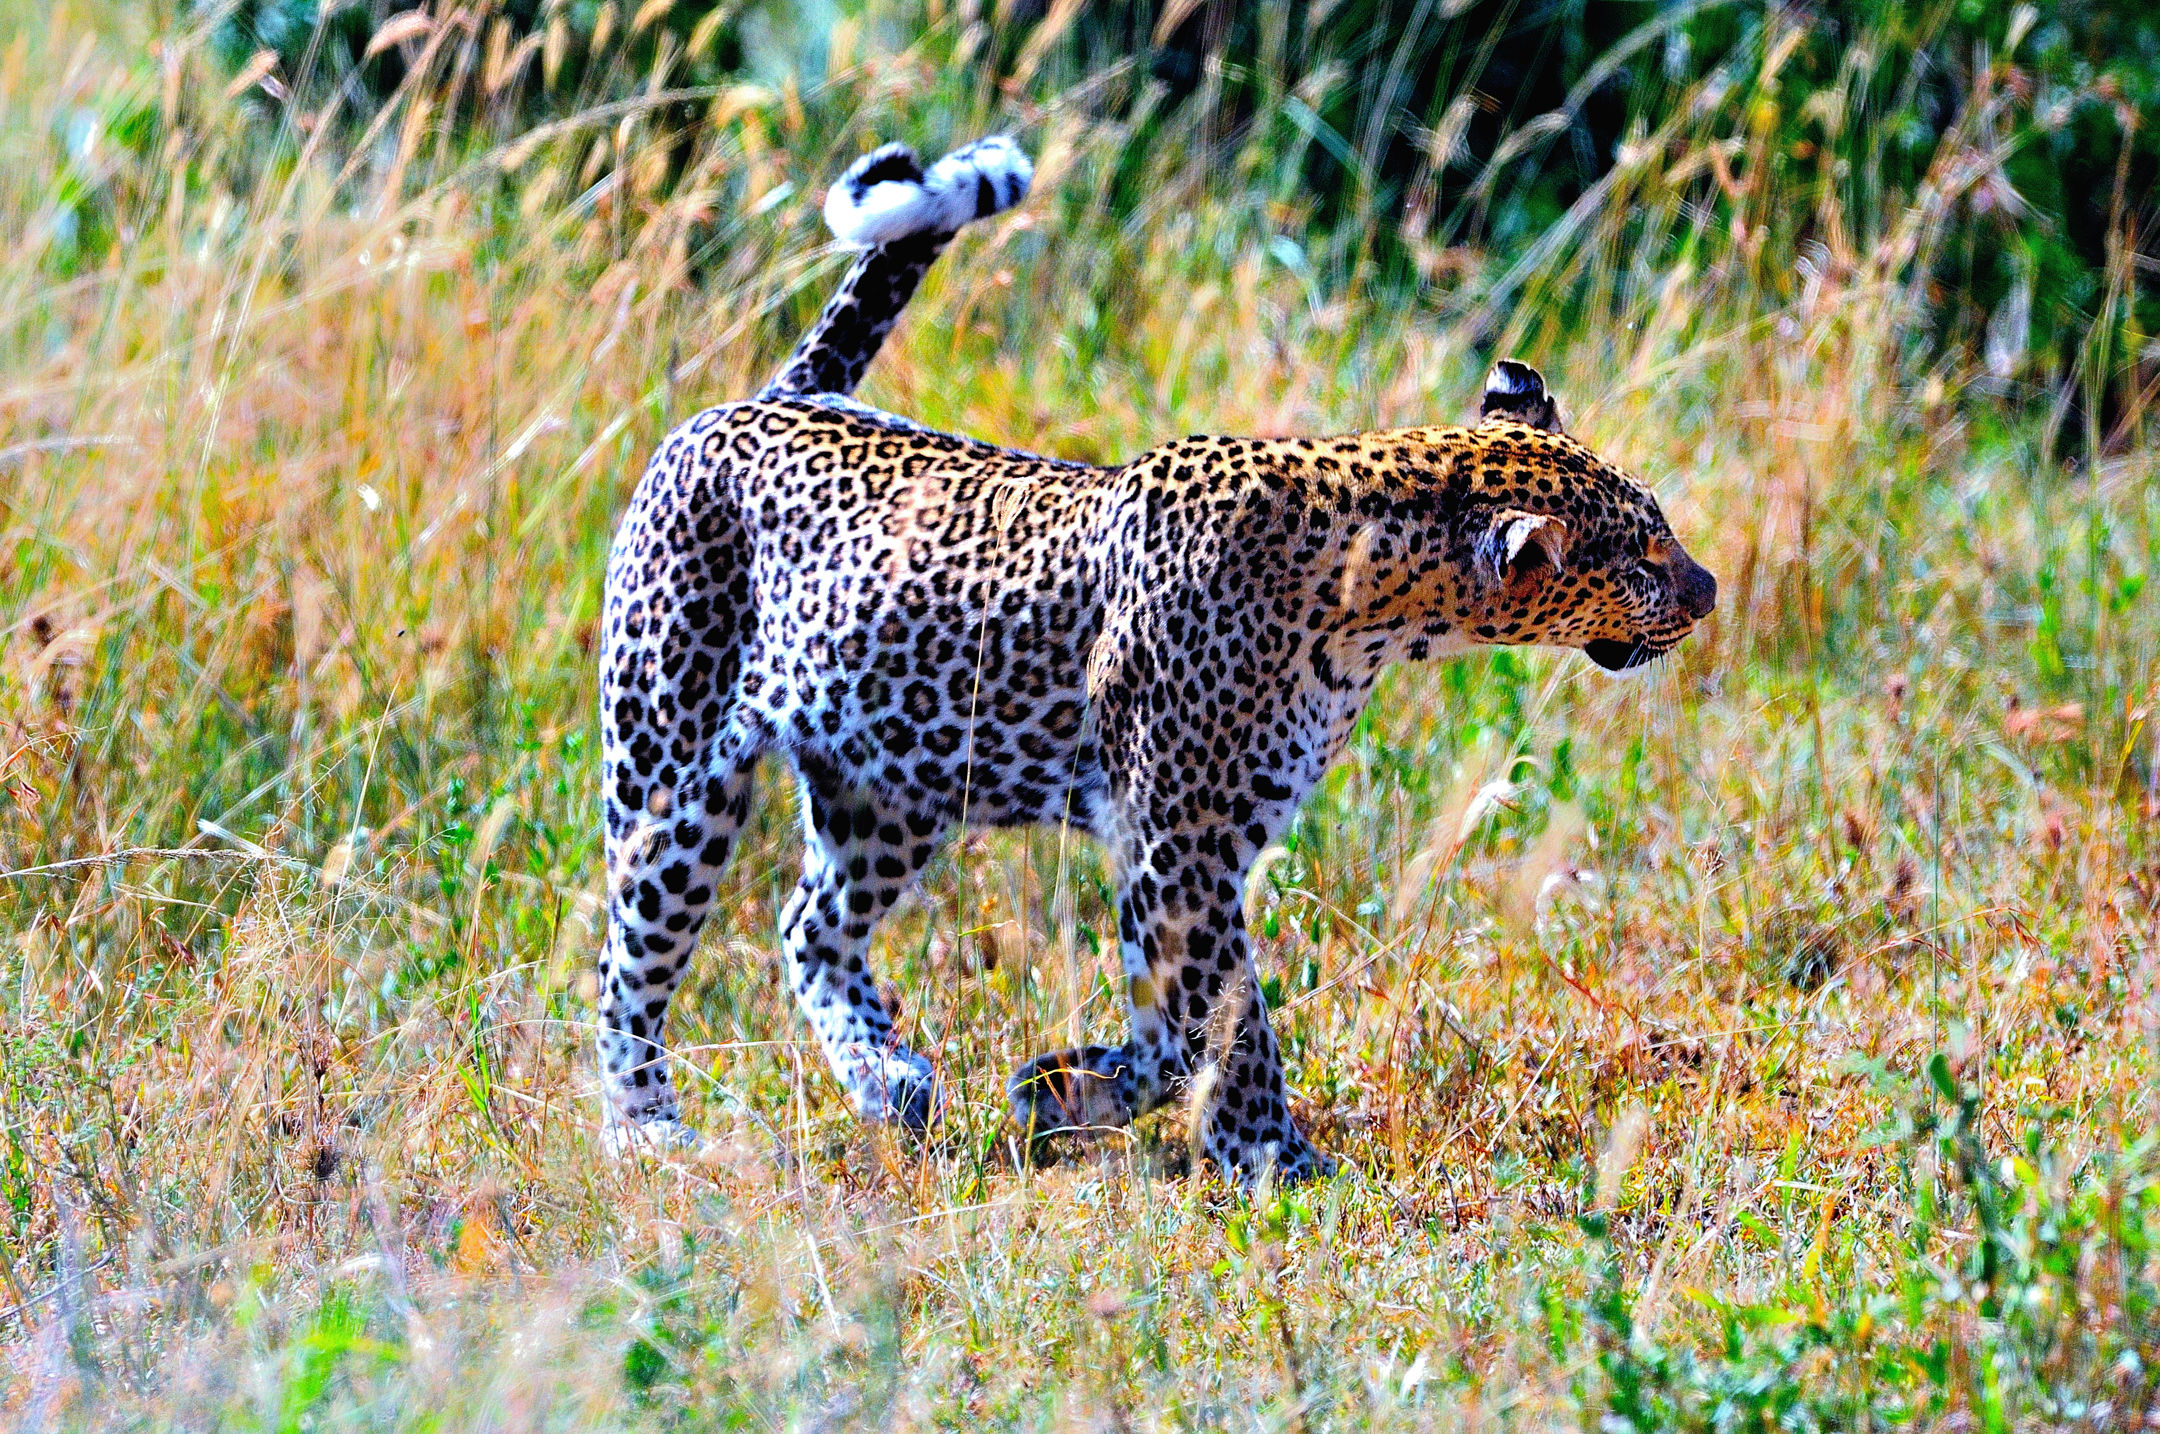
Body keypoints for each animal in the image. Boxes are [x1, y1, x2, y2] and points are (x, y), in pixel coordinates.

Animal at [594, 133, 1717, 1185]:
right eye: (1639, 559)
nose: (1706, 594)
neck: (1374, 606)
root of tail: (772, 400)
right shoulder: (1180, 842)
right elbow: (1226, 1019)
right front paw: (1271, 1155)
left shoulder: (1193, 840)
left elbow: (1177, 1029)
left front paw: (1065, 1091)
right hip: (671, 772)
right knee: (628, 957)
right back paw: (645, 1128)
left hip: (890, 782)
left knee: (809, 922)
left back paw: (888, 1078)